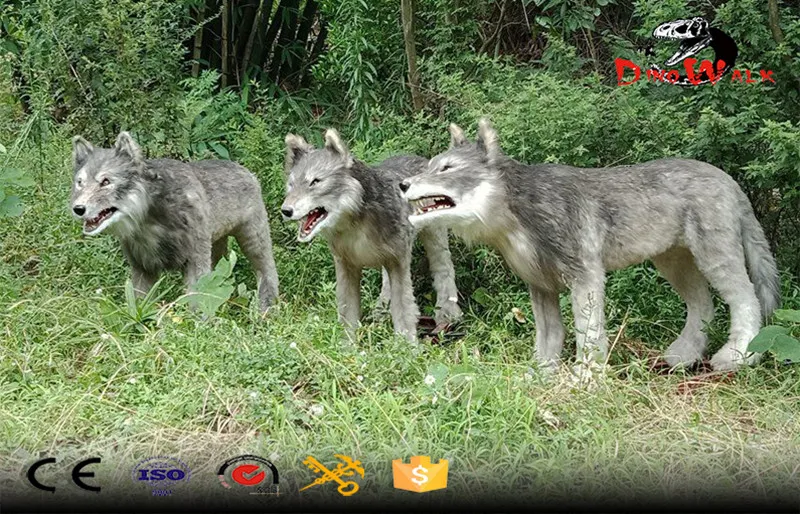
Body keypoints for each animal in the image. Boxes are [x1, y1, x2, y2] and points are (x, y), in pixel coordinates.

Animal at [70, 131, 279, 312]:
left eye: (106, 182)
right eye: (80, 182)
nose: (78, 209)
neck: (149, 221)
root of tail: (247, 171)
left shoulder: (195, 263)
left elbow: (196, 303)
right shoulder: (142, 269)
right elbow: (141, 307)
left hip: (253, 242)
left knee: (268, 271)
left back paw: (266, 309)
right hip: (217, 248)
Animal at [281, 129, 462, 342]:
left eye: (315, 182)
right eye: (291, 185)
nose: (285, 210)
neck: (355, 225)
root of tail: (424, 160)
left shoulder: (399, 262)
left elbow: (403, 309)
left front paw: (407, 346)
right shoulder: (347, 267)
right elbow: (347, 314)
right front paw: (346, 346)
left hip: (435, 240)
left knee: (444, 270)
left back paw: (448, 315)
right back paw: (381, 312)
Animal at [400, 118, 780, 371]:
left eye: (447, 168)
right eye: (430, 165)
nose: (402, 184)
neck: (517, 214)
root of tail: (730, 180)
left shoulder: (586, 278)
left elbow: (588, 333)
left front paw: (586, 377)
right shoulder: (541, 286)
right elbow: (549, 337)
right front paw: (541, 375)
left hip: (715, 258)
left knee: (746, 301)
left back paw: (738, 356)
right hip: (675, 264)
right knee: (702, 306)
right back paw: (683, 357)